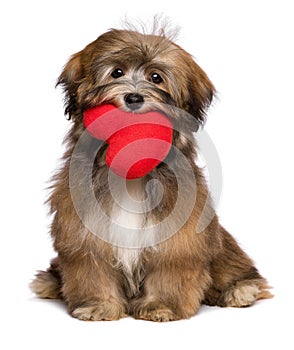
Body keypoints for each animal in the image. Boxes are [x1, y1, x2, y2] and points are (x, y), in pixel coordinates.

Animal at [31, 23, 272, 322]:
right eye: (117, 72)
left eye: (156, 77)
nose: (134, 97)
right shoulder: (84, 232)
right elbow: (93, 270)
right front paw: (98, 305)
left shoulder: (179, 236)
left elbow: (169, 271)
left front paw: (161, 306)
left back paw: (240, 290)